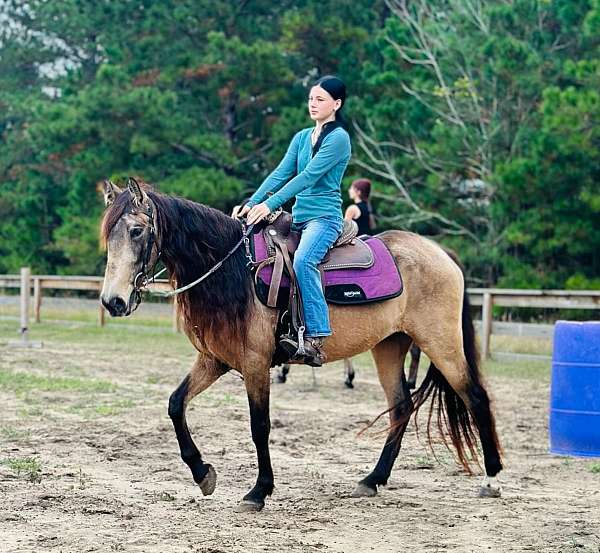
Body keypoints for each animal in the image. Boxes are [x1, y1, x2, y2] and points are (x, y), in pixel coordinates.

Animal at [98, 179, 502, 512]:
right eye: (108, 236)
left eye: (136, 230)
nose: (112, 301)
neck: (235, 270)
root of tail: (441, 253)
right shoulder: (214, 359)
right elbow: (175, 404)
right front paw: (202, 473)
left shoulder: (255, 363)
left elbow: (259, 425)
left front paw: (258, 491)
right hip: (389, 346)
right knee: (401, 406)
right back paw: (373, 480)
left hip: (441, 342)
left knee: (475, 397)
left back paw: (492, 479)